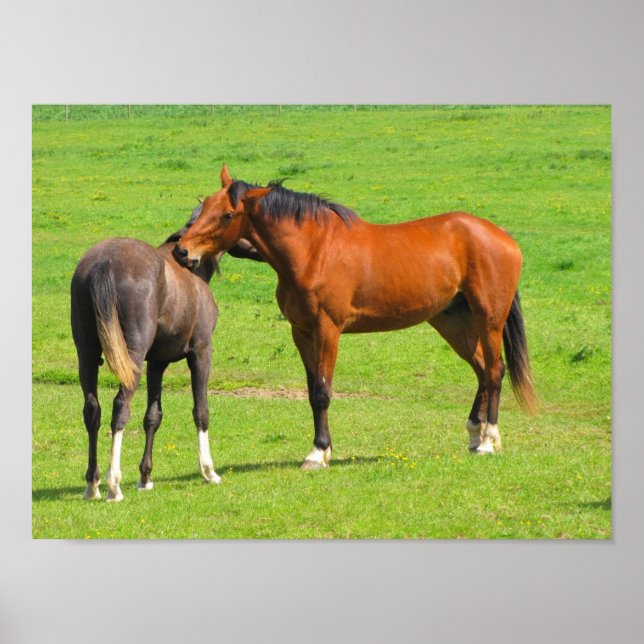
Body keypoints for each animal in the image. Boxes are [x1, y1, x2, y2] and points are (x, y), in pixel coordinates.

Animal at [71, 202, 263, 501]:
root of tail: (104, 261)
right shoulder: (201, 353)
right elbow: (201, 411)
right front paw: (208, 471)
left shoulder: (157, 363)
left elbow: (153, 417)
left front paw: (145, 477)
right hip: (132, 358)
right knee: (120, 407)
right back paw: (114, 484)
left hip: (88, 356)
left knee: (93, 411)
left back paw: (93, 485)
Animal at [174, 164, 537, 470]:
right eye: (204, 205)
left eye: (227, 215)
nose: (181, 250)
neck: (314, 250)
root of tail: (503, 237)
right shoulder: (302, 332)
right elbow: (312, 391)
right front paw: (324, 448)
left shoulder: (328, 330)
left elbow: (323, 392)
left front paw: (318, 453)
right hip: (453, 322)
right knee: (481, 371)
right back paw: (475, 435)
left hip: (489, 319)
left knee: (494, 371)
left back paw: (489, 440)